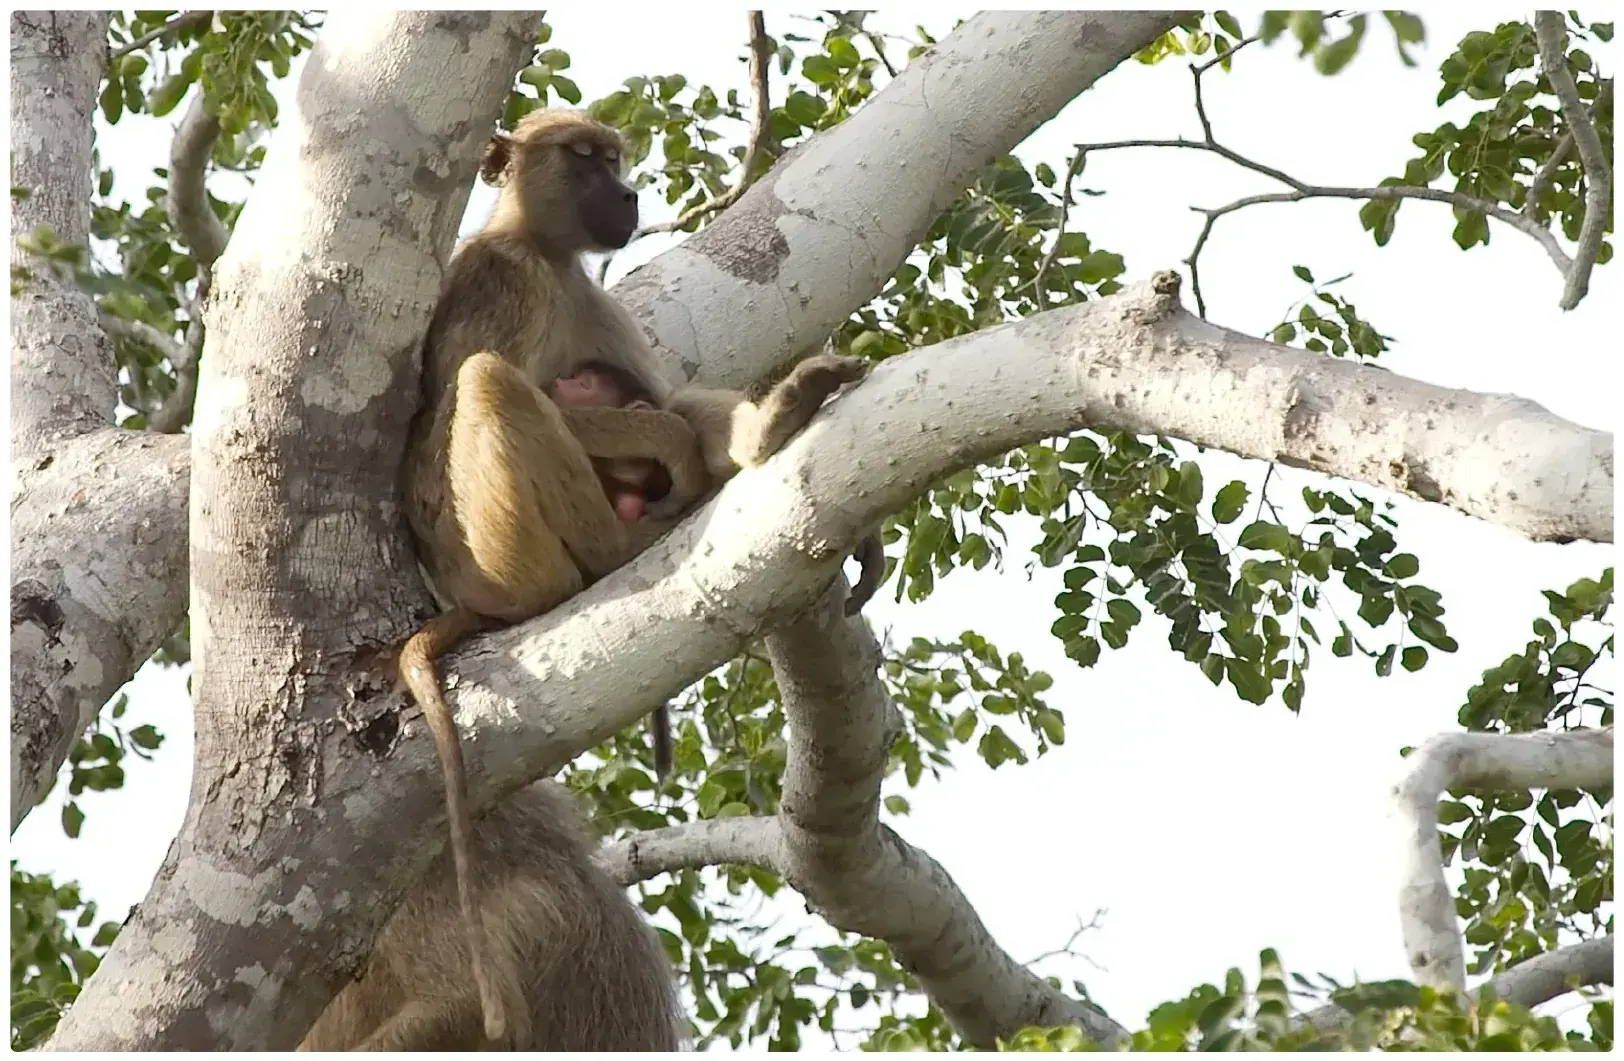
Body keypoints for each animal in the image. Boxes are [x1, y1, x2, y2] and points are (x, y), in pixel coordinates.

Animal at [343, 108, 874, 1051]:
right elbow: (465, 397)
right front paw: (673, 450)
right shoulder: (504, 279)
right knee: (489, 384)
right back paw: (622, 542)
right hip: (500, 552)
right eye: (585, 160)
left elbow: (673, 399)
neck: (544, 252)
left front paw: (749, 429)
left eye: (617, 159)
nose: (627, 196)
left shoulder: (591, 298)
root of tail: (469, 598)